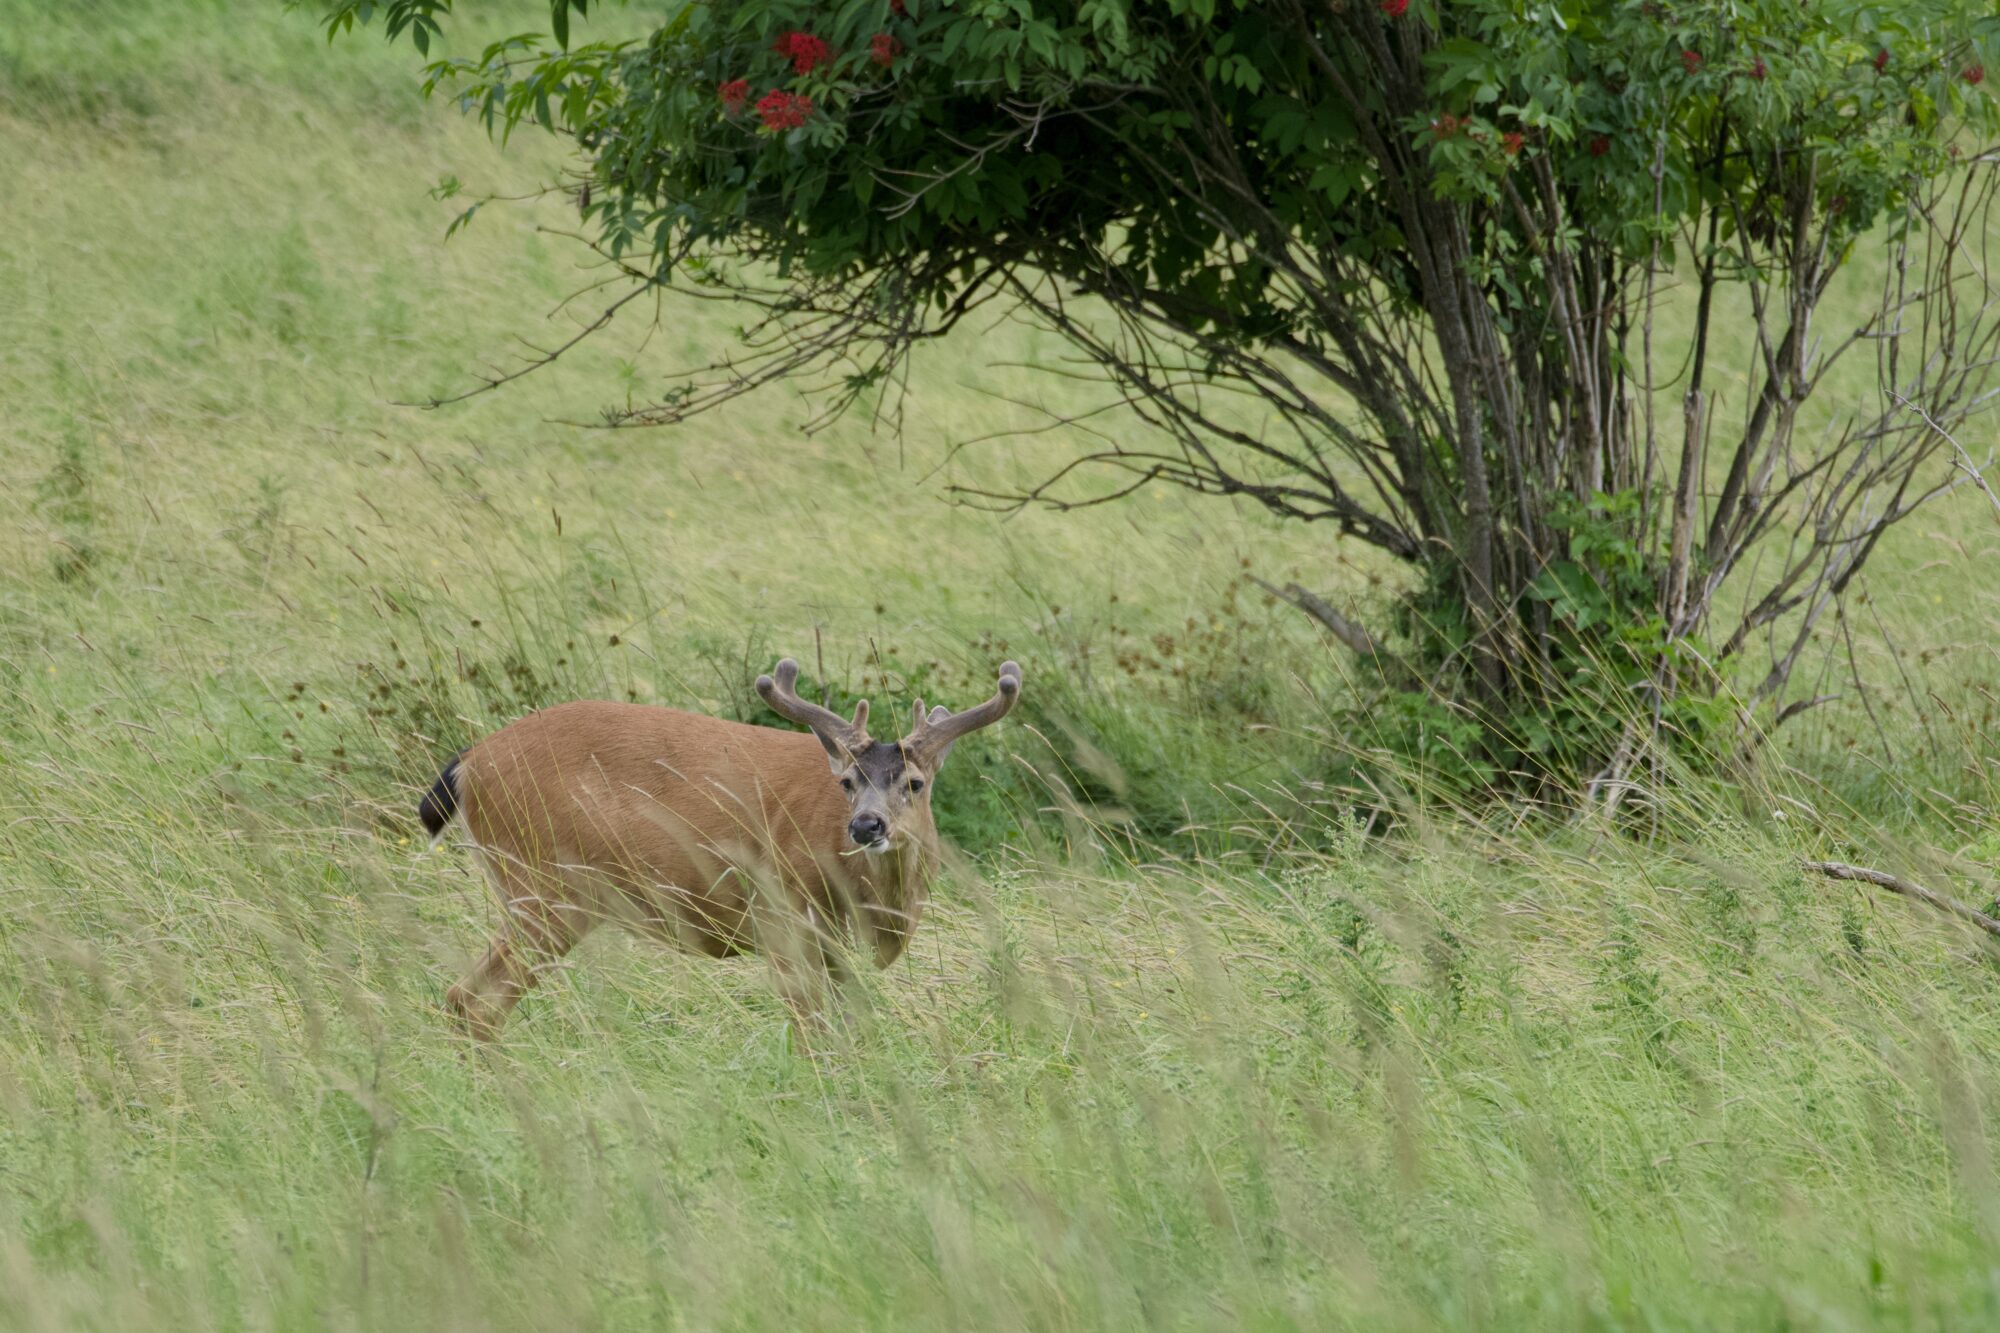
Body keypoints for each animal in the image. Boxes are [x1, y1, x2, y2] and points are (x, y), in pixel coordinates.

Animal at [415, 658, 1022, 1040]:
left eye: (915, 783)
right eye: (847, 781)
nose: (867, 826)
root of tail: (469, 763)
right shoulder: (782, 918)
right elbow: (815, 1036)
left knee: (461, 999)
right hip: (545, 886)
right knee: (475, 1001)